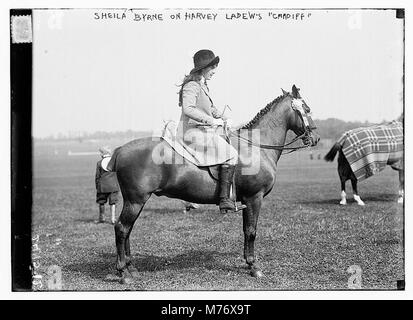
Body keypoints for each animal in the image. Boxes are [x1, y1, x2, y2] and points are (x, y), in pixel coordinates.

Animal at [106, 84, 318, 282]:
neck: (256, 148)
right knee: (122, 228)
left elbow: (246, 230)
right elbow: (251, 231)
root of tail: (120, 150)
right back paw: (123, 272)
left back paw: (131, 267)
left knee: (127, 230)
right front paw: (253, 266)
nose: (315, 138)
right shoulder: (254, 198)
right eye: (307, 109)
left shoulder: (246, 200)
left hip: (135, 201)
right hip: (136, 201)